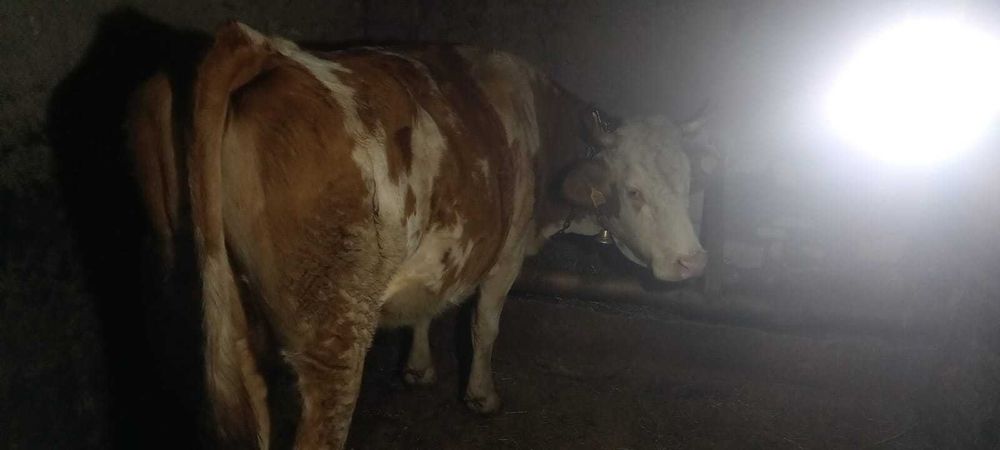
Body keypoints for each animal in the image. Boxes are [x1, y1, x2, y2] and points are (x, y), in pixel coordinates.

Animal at [127, 21, 711, 450]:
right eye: (632, 190)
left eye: (689, 183)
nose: (693, 261)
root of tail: (259, 47)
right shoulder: (507, 253)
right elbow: (484, 325)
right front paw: (481, 396)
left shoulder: (441, 253)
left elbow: (427, 309)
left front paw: (417, 367)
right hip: (332, 333)